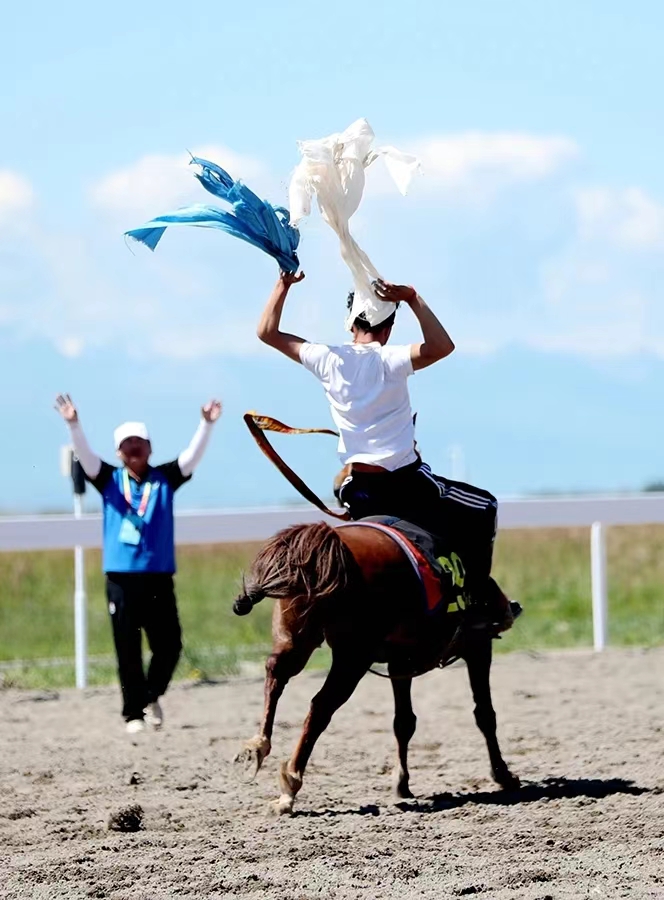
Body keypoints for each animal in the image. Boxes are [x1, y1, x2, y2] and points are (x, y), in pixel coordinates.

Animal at [231, 516, 520, 812]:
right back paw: (291, 781)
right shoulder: (479, 647)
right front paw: (503, 774)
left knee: (276, 676)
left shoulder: (400, 664)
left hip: (294, 639)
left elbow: (404, 722)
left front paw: (402, 783)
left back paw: (258, 747)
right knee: (321, 705)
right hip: (353, 656)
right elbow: (485, 714)